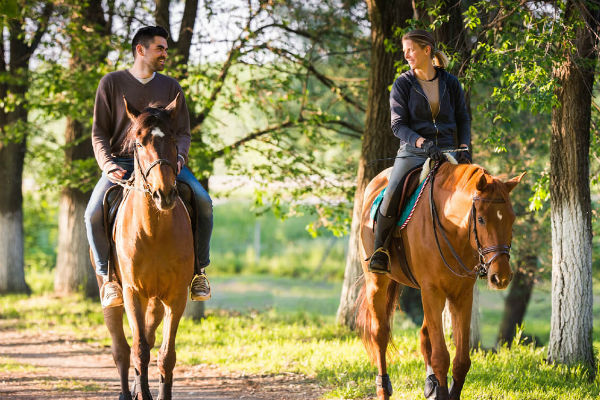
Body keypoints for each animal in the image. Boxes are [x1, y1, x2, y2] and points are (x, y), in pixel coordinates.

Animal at [93, 94, 195, 400]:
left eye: (173, 139)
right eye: (138, 143)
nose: (164, 194)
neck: (154, 232)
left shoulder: (175, 296)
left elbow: (165, 354)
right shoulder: (132, 293)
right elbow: (137, 349)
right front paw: (142, 393)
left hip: (156, 301)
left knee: (149, 339)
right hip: (112, 294)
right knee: (121, 349)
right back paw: (128, 392)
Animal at [356, 162, 524, 400]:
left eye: (512, 219)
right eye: (481, 219)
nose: (501, 277)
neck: (452, 227)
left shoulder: (461, 295)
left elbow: (461, 360)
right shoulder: (432, 291)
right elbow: (441, 357)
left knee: (425, 335)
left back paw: (431, 384)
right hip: (378, 283)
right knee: (380, 334)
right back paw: (383, 388)